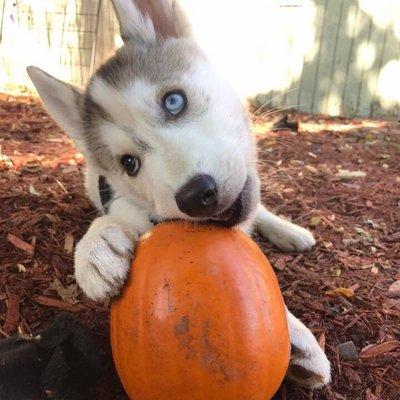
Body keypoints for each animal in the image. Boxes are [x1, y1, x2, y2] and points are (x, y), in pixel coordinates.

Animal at [26, 0, 330, 390]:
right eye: (130, 163)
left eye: (174, 101)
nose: (196, 195)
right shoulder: (124, 201)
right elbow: (115, 218)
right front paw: (97, 246)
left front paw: (297, 336)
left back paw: (290, 231)